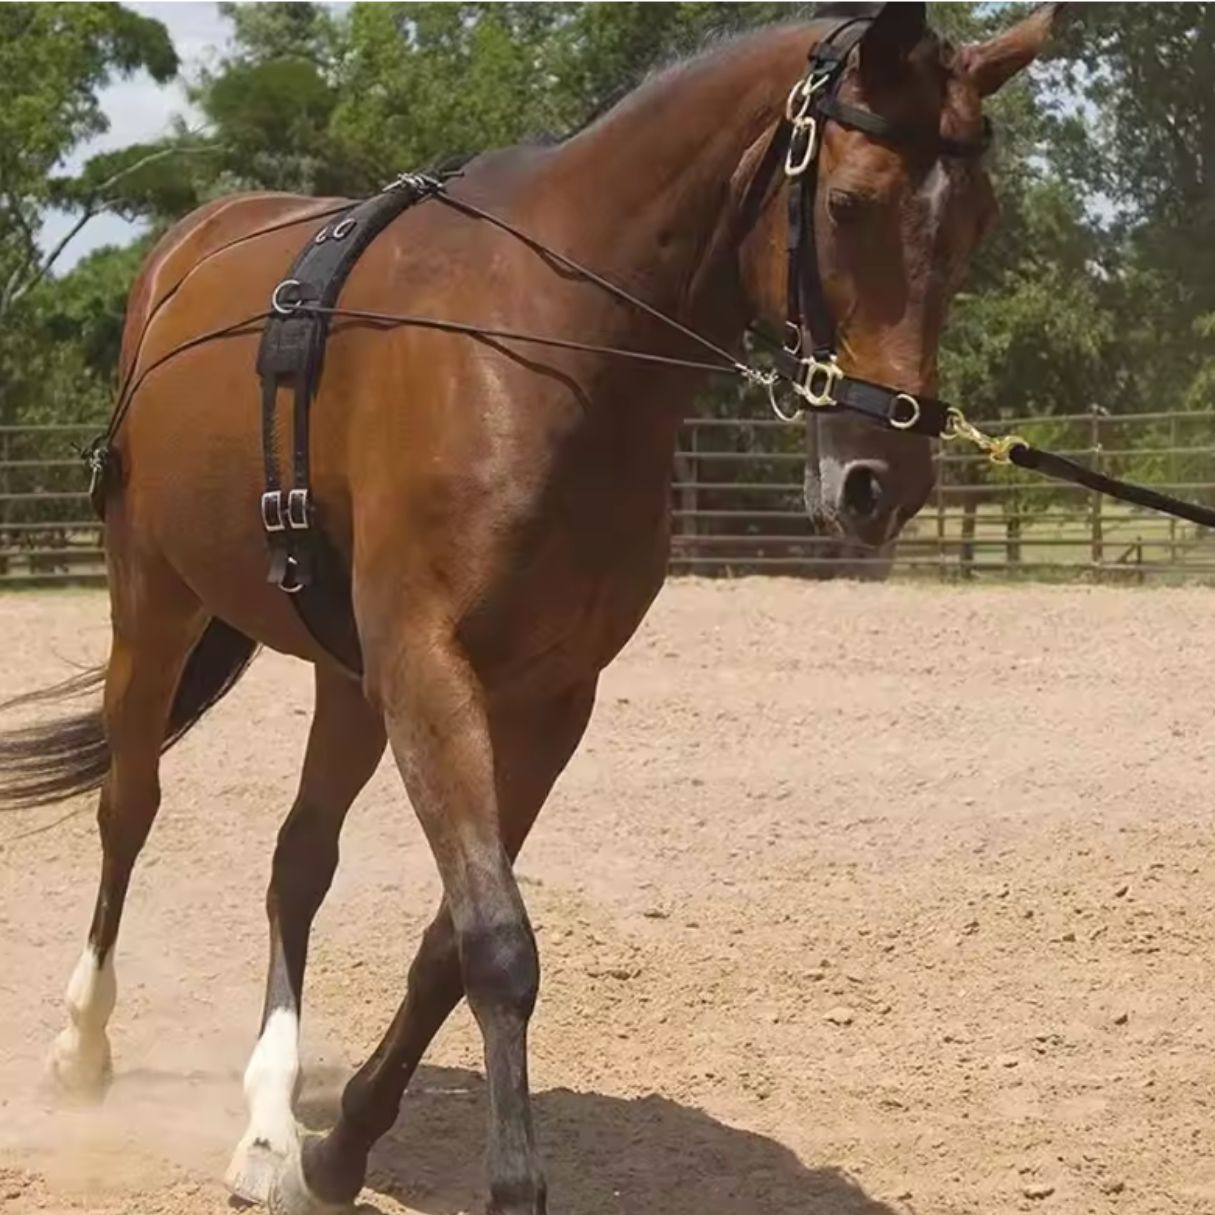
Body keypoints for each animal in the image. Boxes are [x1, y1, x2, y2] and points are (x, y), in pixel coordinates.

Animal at [0, 5, 1061, 1212]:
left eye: (978, 220)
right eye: (847, 203)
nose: (883, 481)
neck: (550, 343)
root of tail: (187, 251)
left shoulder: (548, 698)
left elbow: (451, 941)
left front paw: (341, 1146)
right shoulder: (430, 668)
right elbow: (498, 943)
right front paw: (506, 1179)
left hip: (344, 675)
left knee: (297, 862)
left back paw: (268, 1128)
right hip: (155, 603)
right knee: (128, 809)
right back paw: (82, 1047)